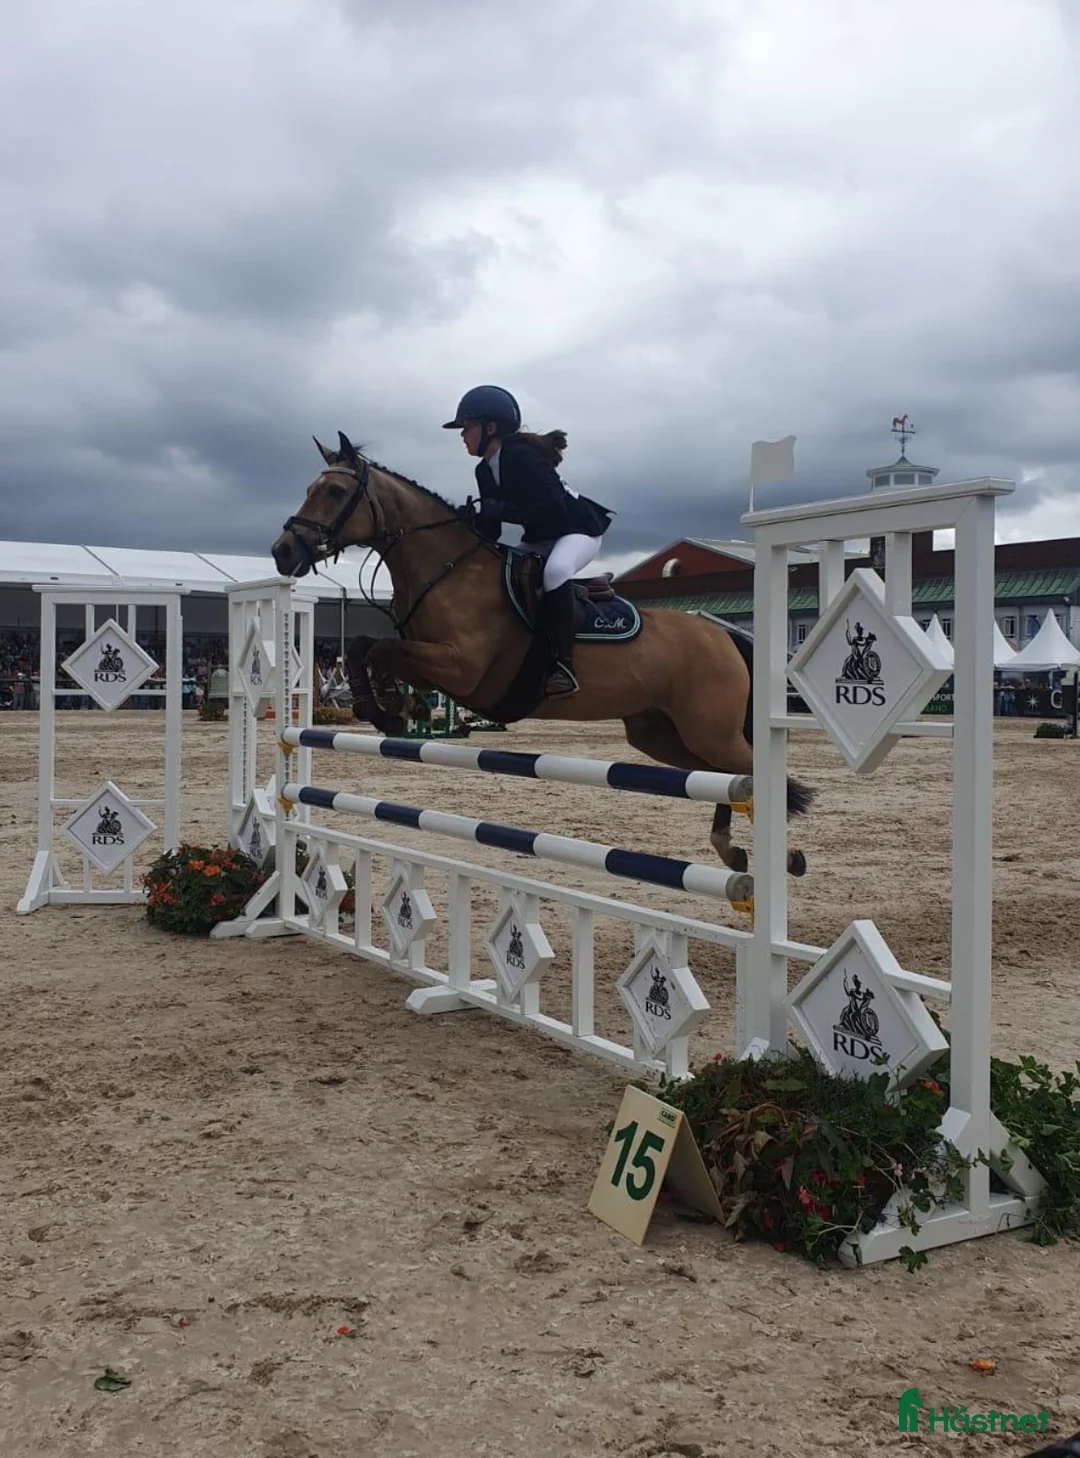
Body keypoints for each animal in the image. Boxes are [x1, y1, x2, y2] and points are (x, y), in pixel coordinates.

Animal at [271, 431, 814, 878]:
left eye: (334, 493)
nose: (282, 552)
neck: (448, 569)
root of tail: (721, 635)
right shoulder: (436, 665)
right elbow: (368, 648)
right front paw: (391, 709)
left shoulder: (463, 668)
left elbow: (382, 648)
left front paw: (391, 709)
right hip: (661, 734)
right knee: (724, 776)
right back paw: (730, 849)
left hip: (708, 729)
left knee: (749, 773)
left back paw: (784, 856)